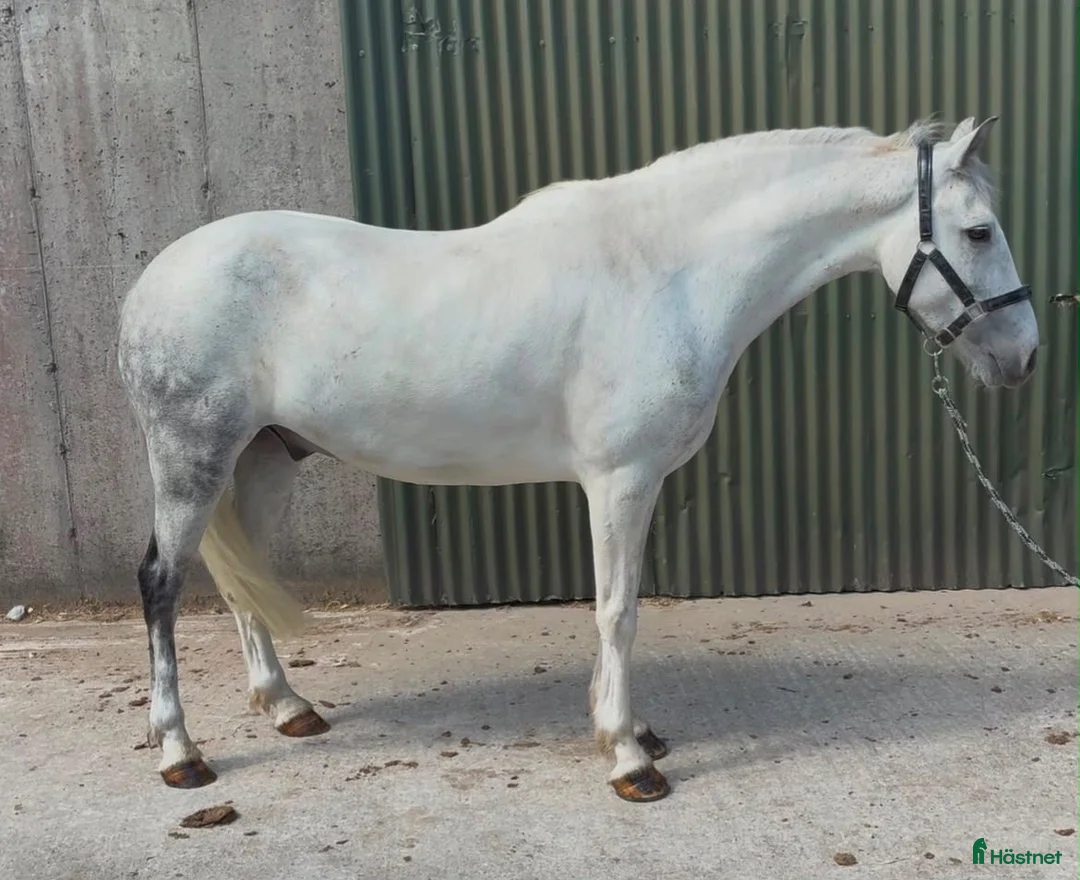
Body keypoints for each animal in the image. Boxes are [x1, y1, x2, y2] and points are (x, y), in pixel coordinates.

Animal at [117, 116, 1037, 803]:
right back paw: (180, 753)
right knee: (162, 582)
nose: (1024, 356)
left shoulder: (633, 483)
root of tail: (151, 283)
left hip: (262, 462)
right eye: (979, 230)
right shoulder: (620, 479)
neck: (670, 274)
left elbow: (613, 605)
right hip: (193, 458)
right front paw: (630, 759)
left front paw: (624, 728)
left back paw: (288, 708)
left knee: (241, 580)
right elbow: (618, 610)